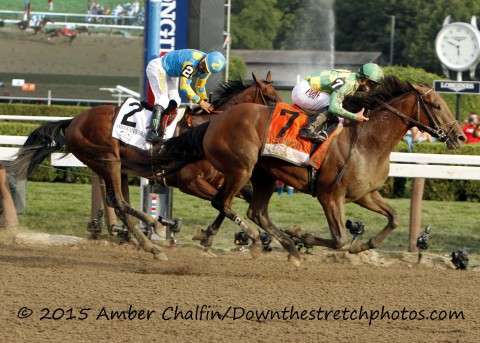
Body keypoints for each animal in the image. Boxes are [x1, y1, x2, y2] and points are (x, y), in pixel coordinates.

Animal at [7, 72, 282, 260]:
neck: (209, 128)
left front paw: (256, 236)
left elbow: (234, 201)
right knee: (118, 202)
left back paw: (149, 241)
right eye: (270, 98)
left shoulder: (221, 179)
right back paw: (154, 229)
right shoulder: (190, 182)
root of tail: (75, 119)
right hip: (108, 160)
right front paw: (247, 236)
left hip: (114, 166)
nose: (283, 121)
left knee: (117, 203)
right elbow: (223, 203)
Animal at [157, 76, 464, 268]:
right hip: (240, 168)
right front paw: (302, 236)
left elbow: (394, 218)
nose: (460, 136)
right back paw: (258, 240)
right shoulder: (330, 195)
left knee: (256, 211)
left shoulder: (365, 194)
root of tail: (215, 120)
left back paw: (288, 248)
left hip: (263, 175)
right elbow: (339, 239)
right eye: (437, 105)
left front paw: (360, 246)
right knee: (224, 203)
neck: (368, 140)